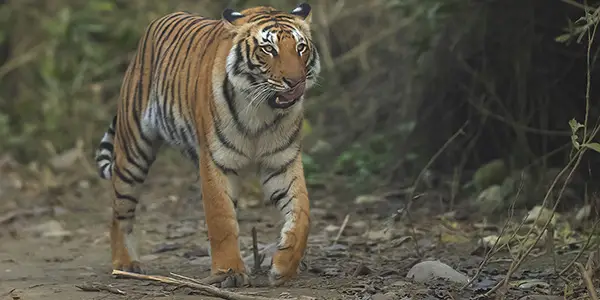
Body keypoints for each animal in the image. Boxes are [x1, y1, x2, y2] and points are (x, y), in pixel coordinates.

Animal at [94, 2, 318, 288]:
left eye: (300, 47)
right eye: (269, 49)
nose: (296, 81)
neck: (262, 111)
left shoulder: (282, 162)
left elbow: (302, 215)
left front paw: (284, 266)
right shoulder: (216, 161)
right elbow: (221, 219)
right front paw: (229, 272)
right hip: (132, 153)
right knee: (119, 212)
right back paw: (124, 264)